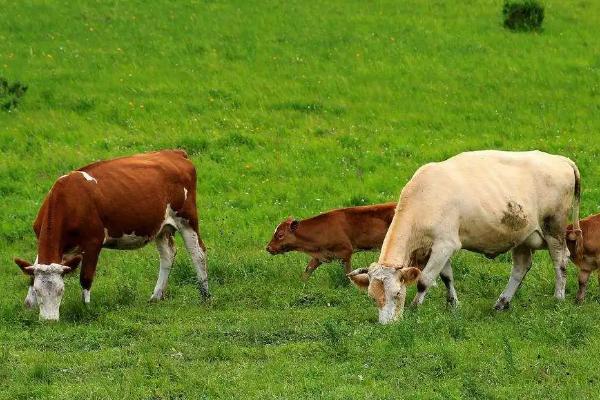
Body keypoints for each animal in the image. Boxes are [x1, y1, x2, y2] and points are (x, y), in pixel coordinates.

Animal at [12, 148, 210, 320]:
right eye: (38, 291)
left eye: (61, 290)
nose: (49, 321)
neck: (66, 200)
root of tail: (174, 153)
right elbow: (32, 271)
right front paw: (29, 305)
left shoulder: (93, 242)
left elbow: (86, 278)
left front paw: (86, 309)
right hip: (160, 227)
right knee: (168, 254)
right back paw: (156, 296)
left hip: (187, 218)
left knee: (198, 253)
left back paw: (205, 296)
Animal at [264, 202, 396, 280]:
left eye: (280, 235)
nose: (268, 248)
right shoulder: (318, 256)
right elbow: (307, 271)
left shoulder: (345, 253)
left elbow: (347, 273)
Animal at [346, 151, 580, 324]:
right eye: (372, 297)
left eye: (396, 294)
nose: (387, 325)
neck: (424, 197)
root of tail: (561, 159)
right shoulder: (439, 248)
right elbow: (446, 276)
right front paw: (453, 304)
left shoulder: (445, 244)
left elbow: (424, 280)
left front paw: (414, 308)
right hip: (522, 236)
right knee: (521, 267)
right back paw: (501, 303)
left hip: (554, 228)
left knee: (560, 260)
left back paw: (558, 297)